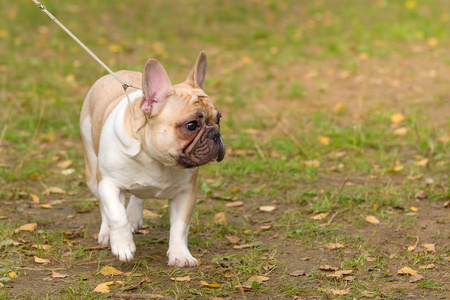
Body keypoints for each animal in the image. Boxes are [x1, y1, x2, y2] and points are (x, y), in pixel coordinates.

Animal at [79, 52, 225, 268]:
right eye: (191, 125)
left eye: (219, 119)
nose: (215, 134)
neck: (156, 160)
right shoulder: (108, 184)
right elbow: (116, 214)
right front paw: (122, 245)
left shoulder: (186, 193)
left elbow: (180, 227)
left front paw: (180, 255)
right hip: (92, 174)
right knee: (105, 208)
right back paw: (107, 233)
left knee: (138, 197)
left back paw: (133, 216)